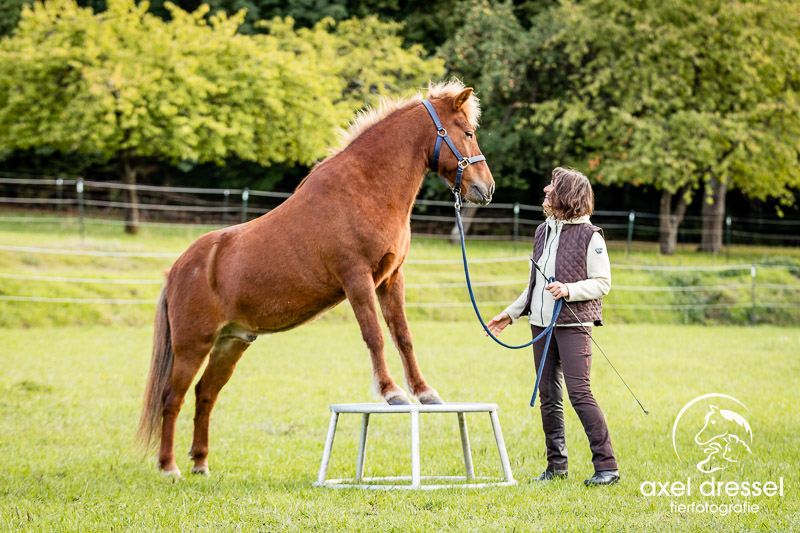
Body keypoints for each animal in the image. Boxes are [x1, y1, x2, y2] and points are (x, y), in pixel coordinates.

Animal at [136, 80, 495, 477]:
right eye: (468, 133)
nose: (487, 188)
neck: (366, 189)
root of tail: (178, 269)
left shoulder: (392, 278)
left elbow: (403, 336)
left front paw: (425, 392)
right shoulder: (357, 278)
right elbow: (375, 336)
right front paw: (392, 394)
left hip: (230, 344)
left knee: (205, 395)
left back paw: (200, 463)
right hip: (191, 347)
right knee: (173, 398)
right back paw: (169, 467)